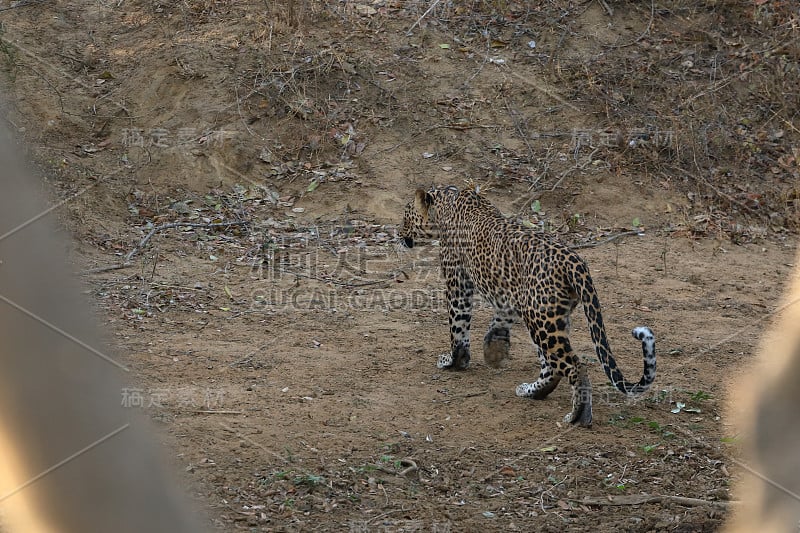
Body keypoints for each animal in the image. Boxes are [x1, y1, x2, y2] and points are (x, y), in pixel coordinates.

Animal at [400, 185, 656, 426]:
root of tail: (575, 261)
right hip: (547, 316)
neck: (446, 203)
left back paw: (577, 415)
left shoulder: (457, 282)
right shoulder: (508, 295)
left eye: (405, 216)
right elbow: (499, 320)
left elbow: (457, 326)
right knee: (552, 366)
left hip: (542, 321)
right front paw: (493, 350)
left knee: (574, 365)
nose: (399, 234)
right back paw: (532, 392)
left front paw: (453, 360)